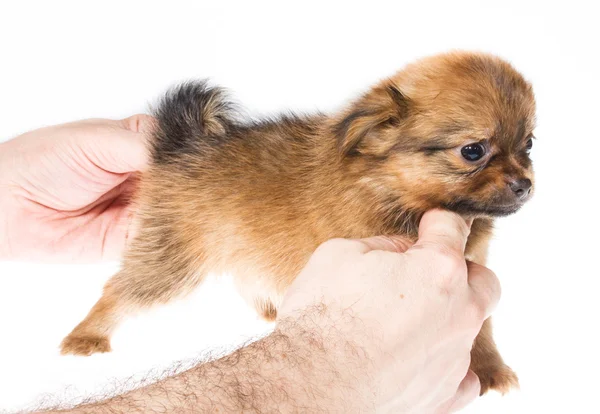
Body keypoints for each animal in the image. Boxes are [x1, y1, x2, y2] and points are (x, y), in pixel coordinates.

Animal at [63, 51, 536, 394]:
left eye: (529, 143)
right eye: (473, 151)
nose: (525, 185)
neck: (389, 186)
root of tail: (182, 146)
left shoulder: (472, 267)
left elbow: (483, 329)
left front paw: (491, 369)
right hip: (173, 260)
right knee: (120, 289)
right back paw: (85, 337)